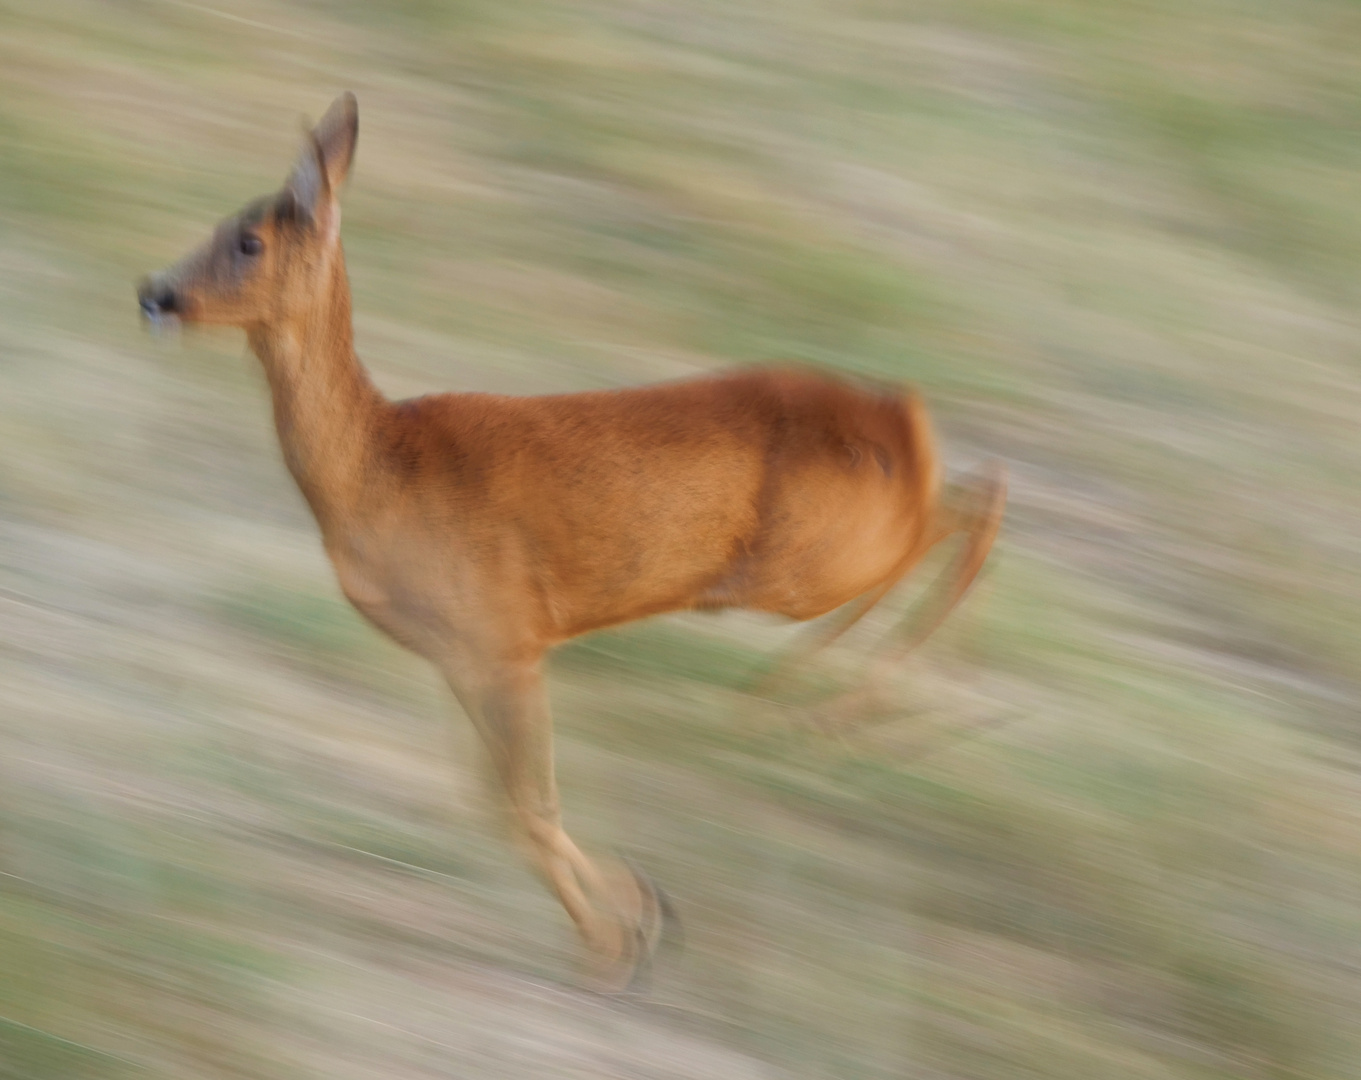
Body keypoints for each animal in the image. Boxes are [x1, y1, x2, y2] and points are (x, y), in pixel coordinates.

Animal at [138, 96, 1007, 990]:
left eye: (249, 238)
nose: (154, 293)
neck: (378, 469)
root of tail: (890, 414)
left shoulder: (505, 638)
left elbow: (526, 803)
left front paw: (615, 943)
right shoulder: (463, 654)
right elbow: (496, 801)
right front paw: (643, 917)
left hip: (809, 563)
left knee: (967, 506)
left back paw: (868, 710)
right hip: (814, 560)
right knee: (968, 499)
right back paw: (834, 704)